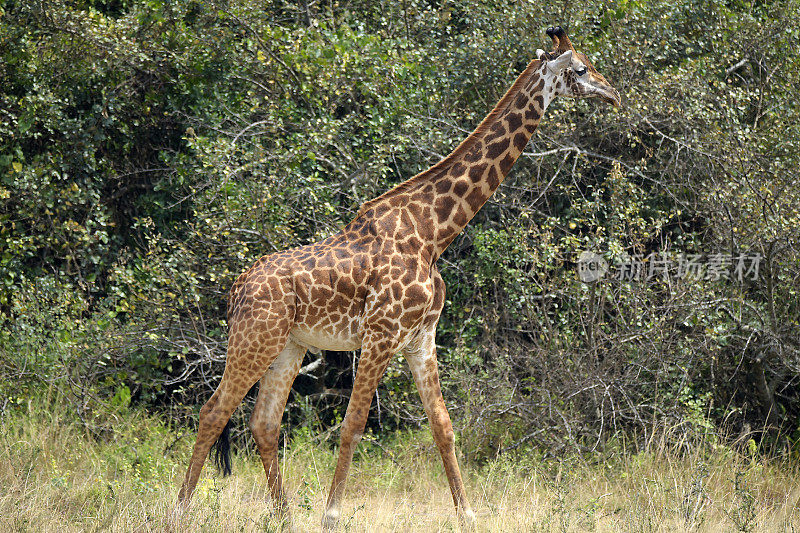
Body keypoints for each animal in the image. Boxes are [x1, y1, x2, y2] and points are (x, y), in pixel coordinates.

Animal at [178, 27, 620, 528]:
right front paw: (331, 517)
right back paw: (181, 512)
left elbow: (443, 426)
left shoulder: (421, 337)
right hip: (255, 337)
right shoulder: (381, 334)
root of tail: (234, 291)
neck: (434, 233)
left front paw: (468, 517)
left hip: (289, 344)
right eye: (581, 69)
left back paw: (284, 519)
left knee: (263, 423)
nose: (613, 94)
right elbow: (353, 425)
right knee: (213, 412)